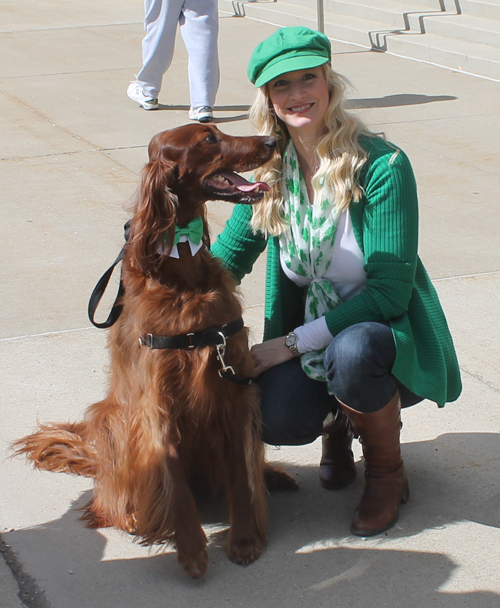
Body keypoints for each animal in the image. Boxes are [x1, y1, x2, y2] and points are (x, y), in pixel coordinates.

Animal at [14, 124, 296, 580]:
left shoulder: (234, 387)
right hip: (110, 420)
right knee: (111, 498)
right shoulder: (157, 403)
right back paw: (129, 514)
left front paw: (244, 538)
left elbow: (240, 472)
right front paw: (191, 548)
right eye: (208, 139)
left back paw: (271, 476)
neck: (185, 276)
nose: (272, 141)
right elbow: (173, 480)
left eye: (218, 128)